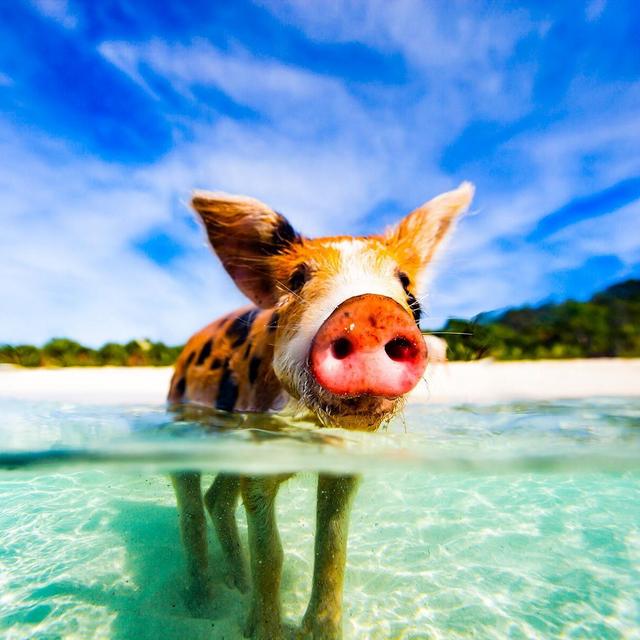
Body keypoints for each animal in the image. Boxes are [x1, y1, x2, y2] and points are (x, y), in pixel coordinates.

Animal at [168, 182, 474, 639]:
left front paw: (319, 631)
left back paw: (236, 584)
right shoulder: (258, 455)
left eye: (409, 291)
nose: (370, 310)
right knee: (191, 507)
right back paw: (203, 606)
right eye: (297, 279)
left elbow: (331, 548)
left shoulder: (345, 464)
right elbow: (271, 555)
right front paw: (264, 632)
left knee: (217, 499)